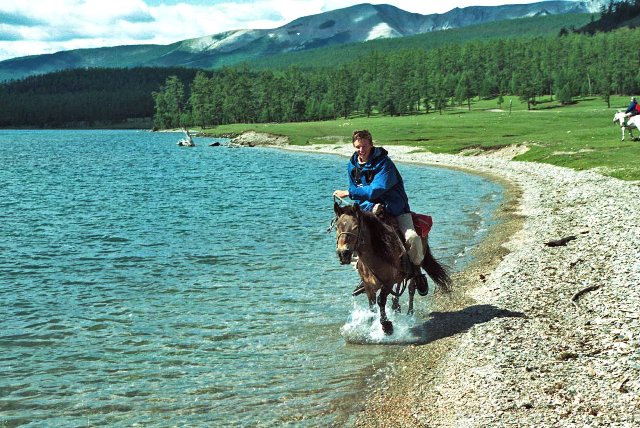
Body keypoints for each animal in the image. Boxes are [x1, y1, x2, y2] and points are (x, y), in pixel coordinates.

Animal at [332, 202, 452, 336]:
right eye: (337, 227)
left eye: (355, 227)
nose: (343, 253)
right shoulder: (369, 287)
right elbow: (372, 305)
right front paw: (371, 326)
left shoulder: (387, 283)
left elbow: (381, 300)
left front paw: (386, 325)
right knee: (399, 286)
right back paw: (396, 306)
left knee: (411, 288)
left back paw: (410, 311)